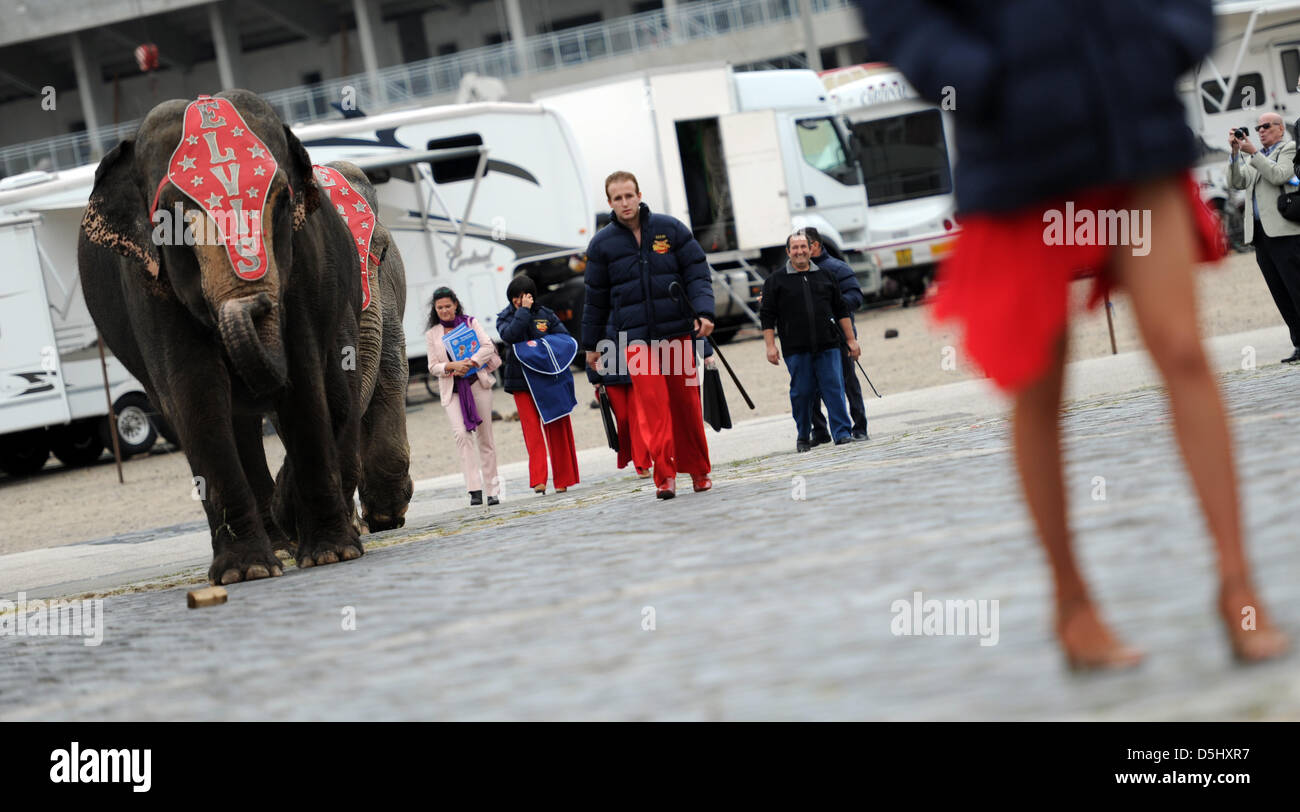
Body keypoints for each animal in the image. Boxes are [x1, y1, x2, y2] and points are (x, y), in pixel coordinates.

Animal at [78, 90, 364, 582]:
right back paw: (276, 546)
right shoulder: (147, 281)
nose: (255, 304)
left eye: (282, 201)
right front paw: (245, 572)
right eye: (170, 217)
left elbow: (305, 380)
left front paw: (331, 553)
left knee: (331, 397)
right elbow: (194, 390)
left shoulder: (305, 265)